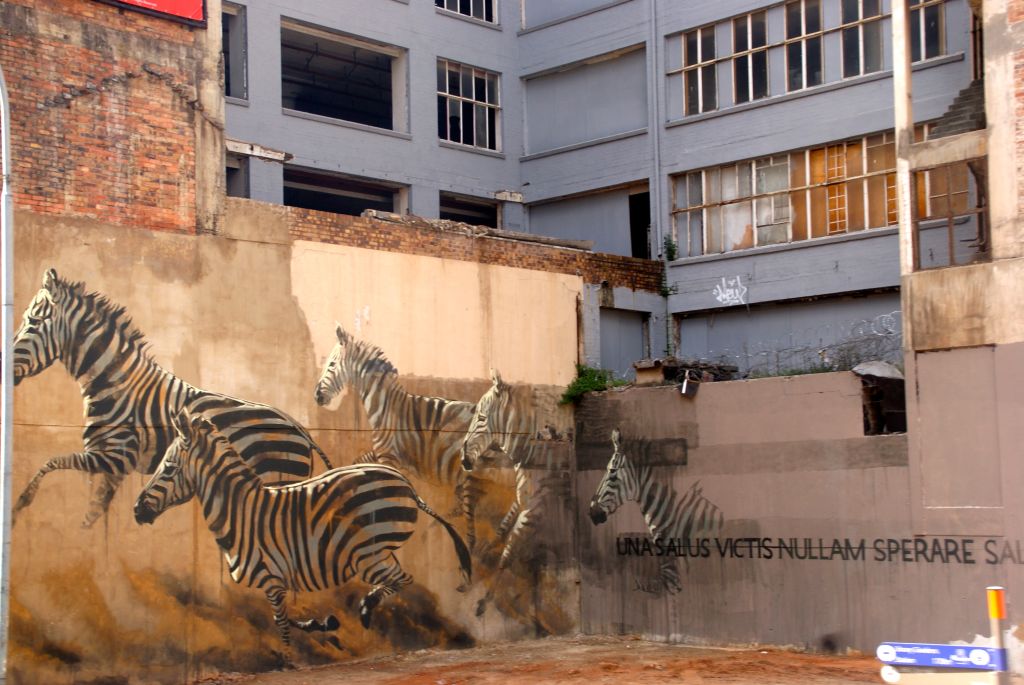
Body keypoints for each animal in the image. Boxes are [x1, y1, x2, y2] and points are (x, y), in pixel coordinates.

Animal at [11, 268, 332, 527]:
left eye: (32, 323)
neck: (114, 382)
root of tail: (297, 427)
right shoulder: (110, 465)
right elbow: (94, 511)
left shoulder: (114, 456)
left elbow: (50, 463)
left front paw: (19, 506)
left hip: (276, 476)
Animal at [133, 408, 472, 655]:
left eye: (168, 469)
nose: (137, 510)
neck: (239, 511)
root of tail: (405, 483)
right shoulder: (277, 580)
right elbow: (285, 618)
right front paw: (324, 624)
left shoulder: (272, 578)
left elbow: (281, 623)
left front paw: (288, 658)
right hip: (379, 552)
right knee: (397, 578)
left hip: (367, 555)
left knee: (402, 579)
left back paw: (366, 610)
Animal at [314, 324, 484, 549]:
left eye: (331, 364)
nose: (317, 396)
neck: (385, 409)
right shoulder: (381, 454)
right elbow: (358, 463)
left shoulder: (389, 458)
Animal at [459, 368, 570, 616]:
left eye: (482, 418)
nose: (463, 460)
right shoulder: (524, 499)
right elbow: (503, 525)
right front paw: (486, 550)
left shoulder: (533, 509)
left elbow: (507, 554)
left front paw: (485, 600)